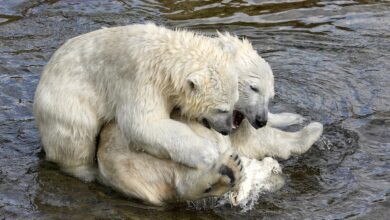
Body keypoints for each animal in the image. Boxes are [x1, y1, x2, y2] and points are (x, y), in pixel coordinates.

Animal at [33, 24, 241, 182]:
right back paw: (88, 171)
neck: (166, 59)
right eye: (221, 109)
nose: (226, 130)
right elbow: (143, 125)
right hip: (67, 102)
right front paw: (209, 153)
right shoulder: (142, 81)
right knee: (77, 137)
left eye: (234, 104)